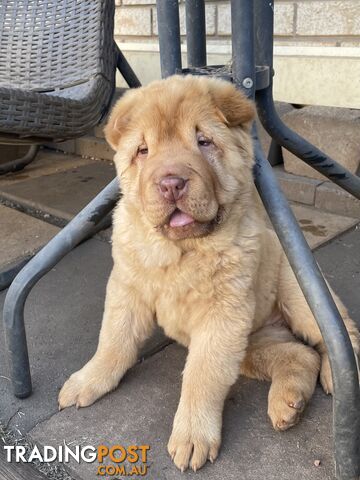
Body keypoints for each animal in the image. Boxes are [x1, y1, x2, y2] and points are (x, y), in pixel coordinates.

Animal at [58, 76, 358, 472]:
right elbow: (113, 341)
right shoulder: (127, 288)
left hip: (300, 293)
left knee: (339, 334)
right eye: (143, 151)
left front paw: (191, 437)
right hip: (253, 343)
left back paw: (336, 377)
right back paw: (287, 404)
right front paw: (87, 381)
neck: (179, 250)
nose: (171, 183)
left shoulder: (221, 317)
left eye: (203, 142)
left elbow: (202, 376)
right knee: (298, 354)